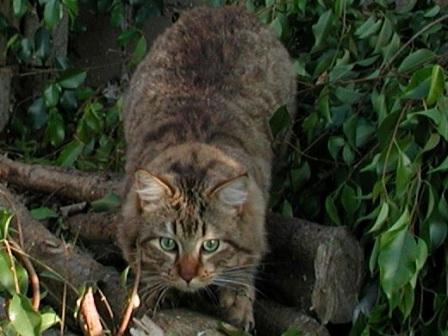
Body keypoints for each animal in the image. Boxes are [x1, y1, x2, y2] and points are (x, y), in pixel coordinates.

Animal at [117, 5, 296, 330]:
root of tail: (224, 8)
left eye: (210, 245)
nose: (187, 276)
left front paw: (238, 302)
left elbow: (246, 265)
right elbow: (140, 262)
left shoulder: (255, 220)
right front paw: (153, 290)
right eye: (167, 243)